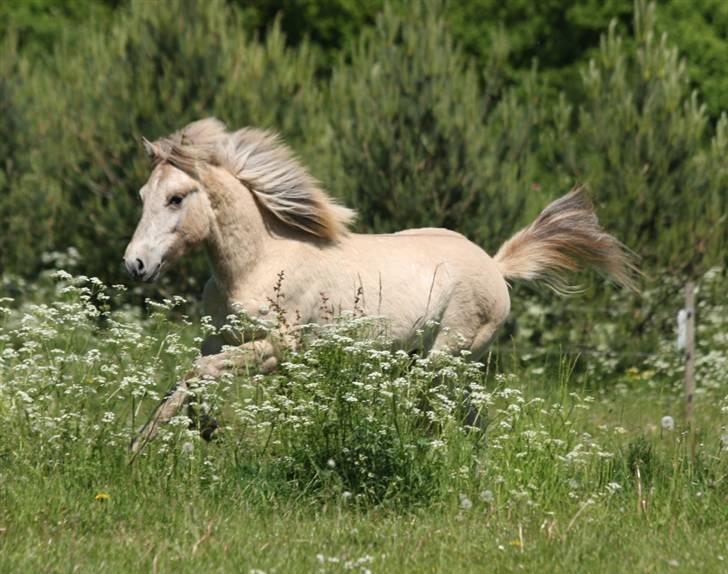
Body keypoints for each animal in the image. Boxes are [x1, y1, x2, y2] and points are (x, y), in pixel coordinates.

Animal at [123, 118, 636, 454]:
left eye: (176, 198)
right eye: (144, 196)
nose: (135, 264)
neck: (258, 264)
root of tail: (493, 265)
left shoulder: (277, 349)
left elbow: (197, 375)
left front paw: (191, 433)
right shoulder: (219, 339)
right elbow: (183, 384)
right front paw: (148, 445)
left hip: (444, 357)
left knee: (437, 415)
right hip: (451, 363)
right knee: (473, 420)